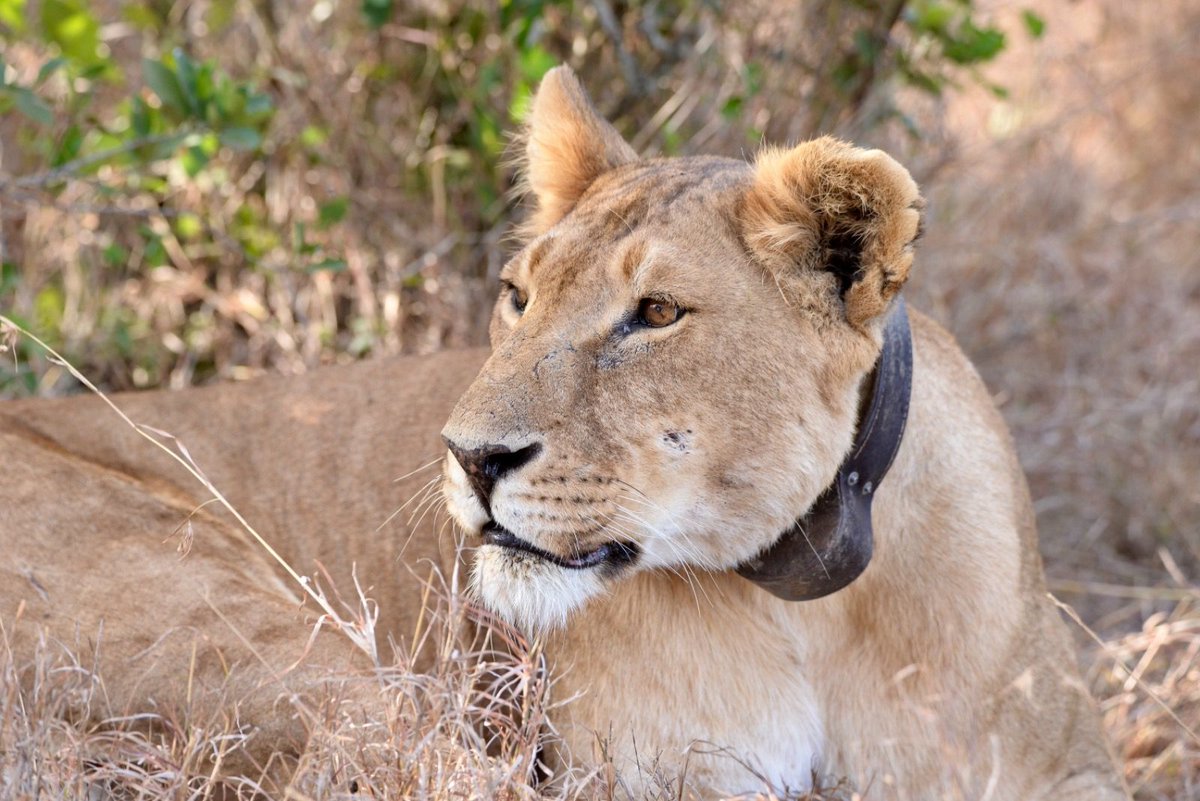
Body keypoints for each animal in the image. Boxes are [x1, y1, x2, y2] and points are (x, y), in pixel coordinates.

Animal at [0, 66, 1126, 799]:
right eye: (518, 295)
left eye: (656, 314)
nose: (471, 458)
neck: (812, 598)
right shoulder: (640, 777)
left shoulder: (1065, 768)